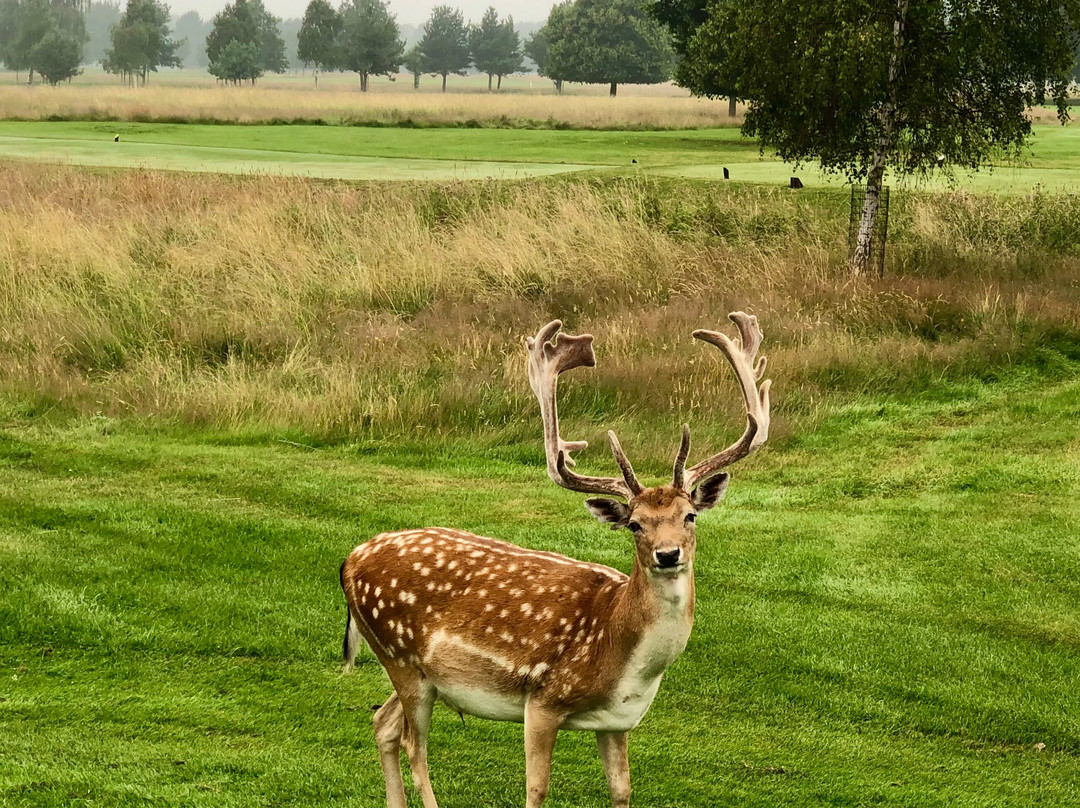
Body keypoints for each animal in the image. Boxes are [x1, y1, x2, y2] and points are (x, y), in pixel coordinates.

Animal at [336, 311, 768, 808]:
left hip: (414, 671)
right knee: (413, 743)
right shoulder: (542, 697)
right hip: (400, 655)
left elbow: (622, 790)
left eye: (690, 515)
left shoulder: (616, 721)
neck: (621, 656)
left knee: (382, 723)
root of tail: (349, 561)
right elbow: (537, 787)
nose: (667, 553)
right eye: (635, 524)